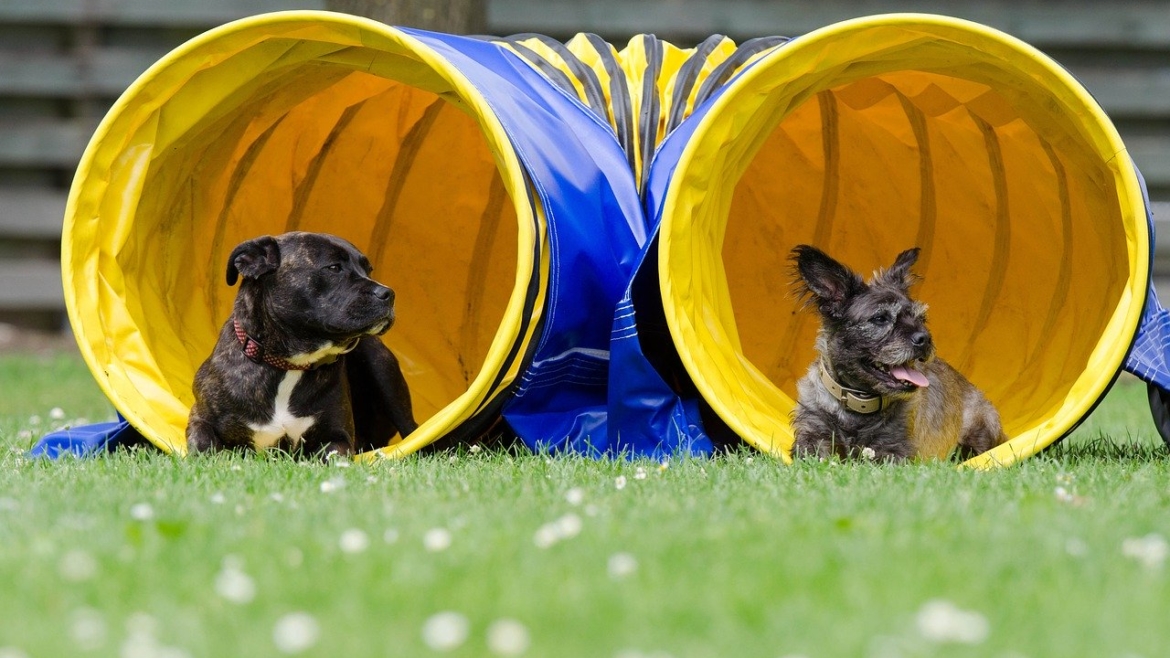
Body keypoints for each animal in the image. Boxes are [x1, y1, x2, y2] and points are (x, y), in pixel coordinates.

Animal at [790, 244, 1010, 461]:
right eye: (880, 318)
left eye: (921, 318)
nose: (925, 338)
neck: (858, 406)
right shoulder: (811, 435)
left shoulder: (894, 450)